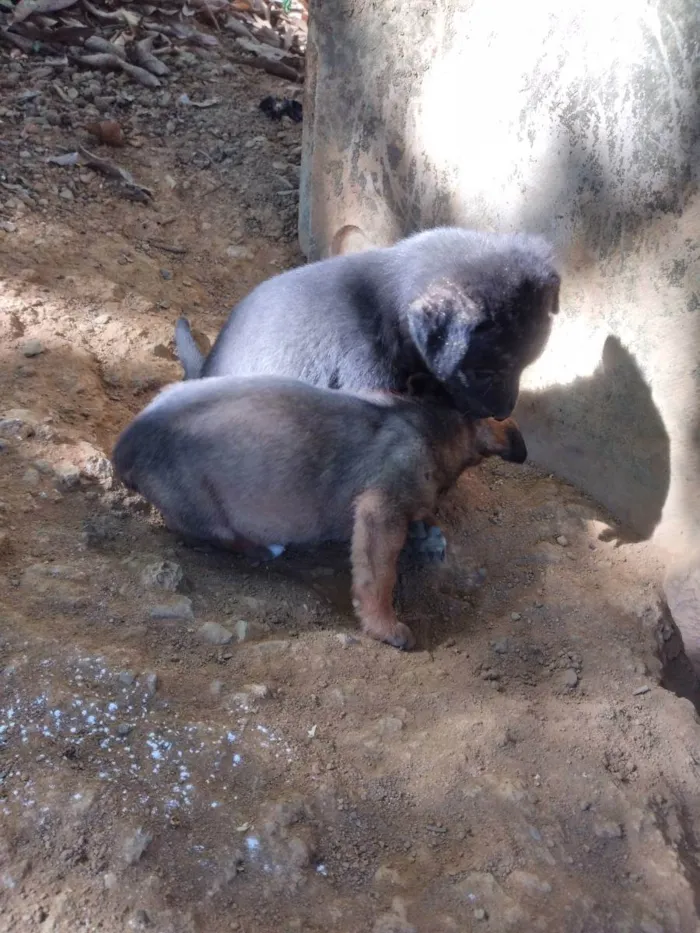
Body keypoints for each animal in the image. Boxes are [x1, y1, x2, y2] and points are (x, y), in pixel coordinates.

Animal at [110, 372, 524, 648]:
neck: (434, 427)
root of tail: (125, 448)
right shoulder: (379, 512)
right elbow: (378, 578)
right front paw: (385, 626)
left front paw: (428, 535)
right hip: (203, 507)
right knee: (210, 534)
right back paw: (262, 549)